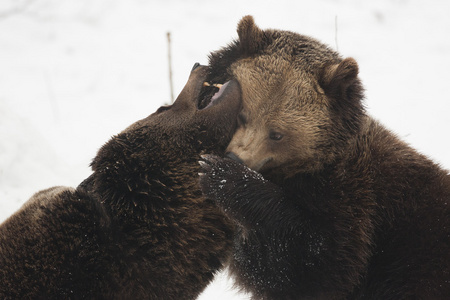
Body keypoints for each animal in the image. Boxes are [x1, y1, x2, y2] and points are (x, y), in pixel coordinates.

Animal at [200, 16, 450, 300]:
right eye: (242, 115)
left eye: (277, 134)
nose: (235, 157)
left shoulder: (353, 205)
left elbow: (316, 264)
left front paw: (223, 176)